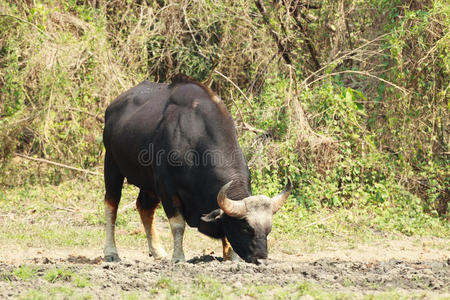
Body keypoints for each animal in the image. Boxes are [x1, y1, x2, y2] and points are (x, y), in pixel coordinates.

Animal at [102, 75, 292, 264]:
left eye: (268, 229)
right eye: (246, 228)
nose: (261, 259)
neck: (194, 139)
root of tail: (112, 107)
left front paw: (231, 258)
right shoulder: (167, 188)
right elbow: (178, 224)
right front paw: (178, 257)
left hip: (148, 182)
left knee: (144, 207)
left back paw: (158, 252)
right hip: (111, 164)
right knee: (112, 205)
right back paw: (111, 252)